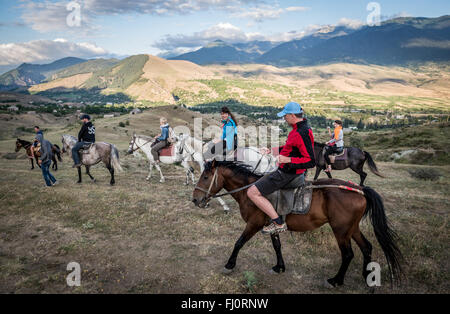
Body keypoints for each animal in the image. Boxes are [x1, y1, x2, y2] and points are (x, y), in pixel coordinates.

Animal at [192, 161, 402, 288]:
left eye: (205, 177)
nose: (195, 200)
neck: (249, 191)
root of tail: (360, 189)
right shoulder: (272, 226)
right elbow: (277, 246)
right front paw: (279, 267)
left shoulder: (254, 224)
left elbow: (238, 243)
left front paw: (229, 264)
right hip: (352, 228)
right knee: (367, 247)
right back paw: (368, 277)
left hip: (341, 230)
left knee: (348, 254)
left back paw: (336, 280)